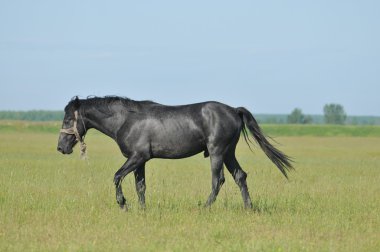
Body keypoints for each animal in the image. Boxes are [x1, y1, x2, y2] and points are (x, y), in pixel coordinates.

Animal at [57, 95, 294, 210]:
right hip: (229, 153)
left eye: (68, 119)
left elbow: (116, 177)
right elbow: (140, 186)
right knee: (240, 176)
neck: (127, 120)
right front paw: (142, 210)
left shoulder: (137, 157)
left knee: (218, 180)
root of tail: (234, 110)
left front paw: (123, 204)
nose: (61, 147)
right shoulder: (140, 161)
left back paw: (204, 207)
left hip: (217, 152)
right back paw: (248, 208)